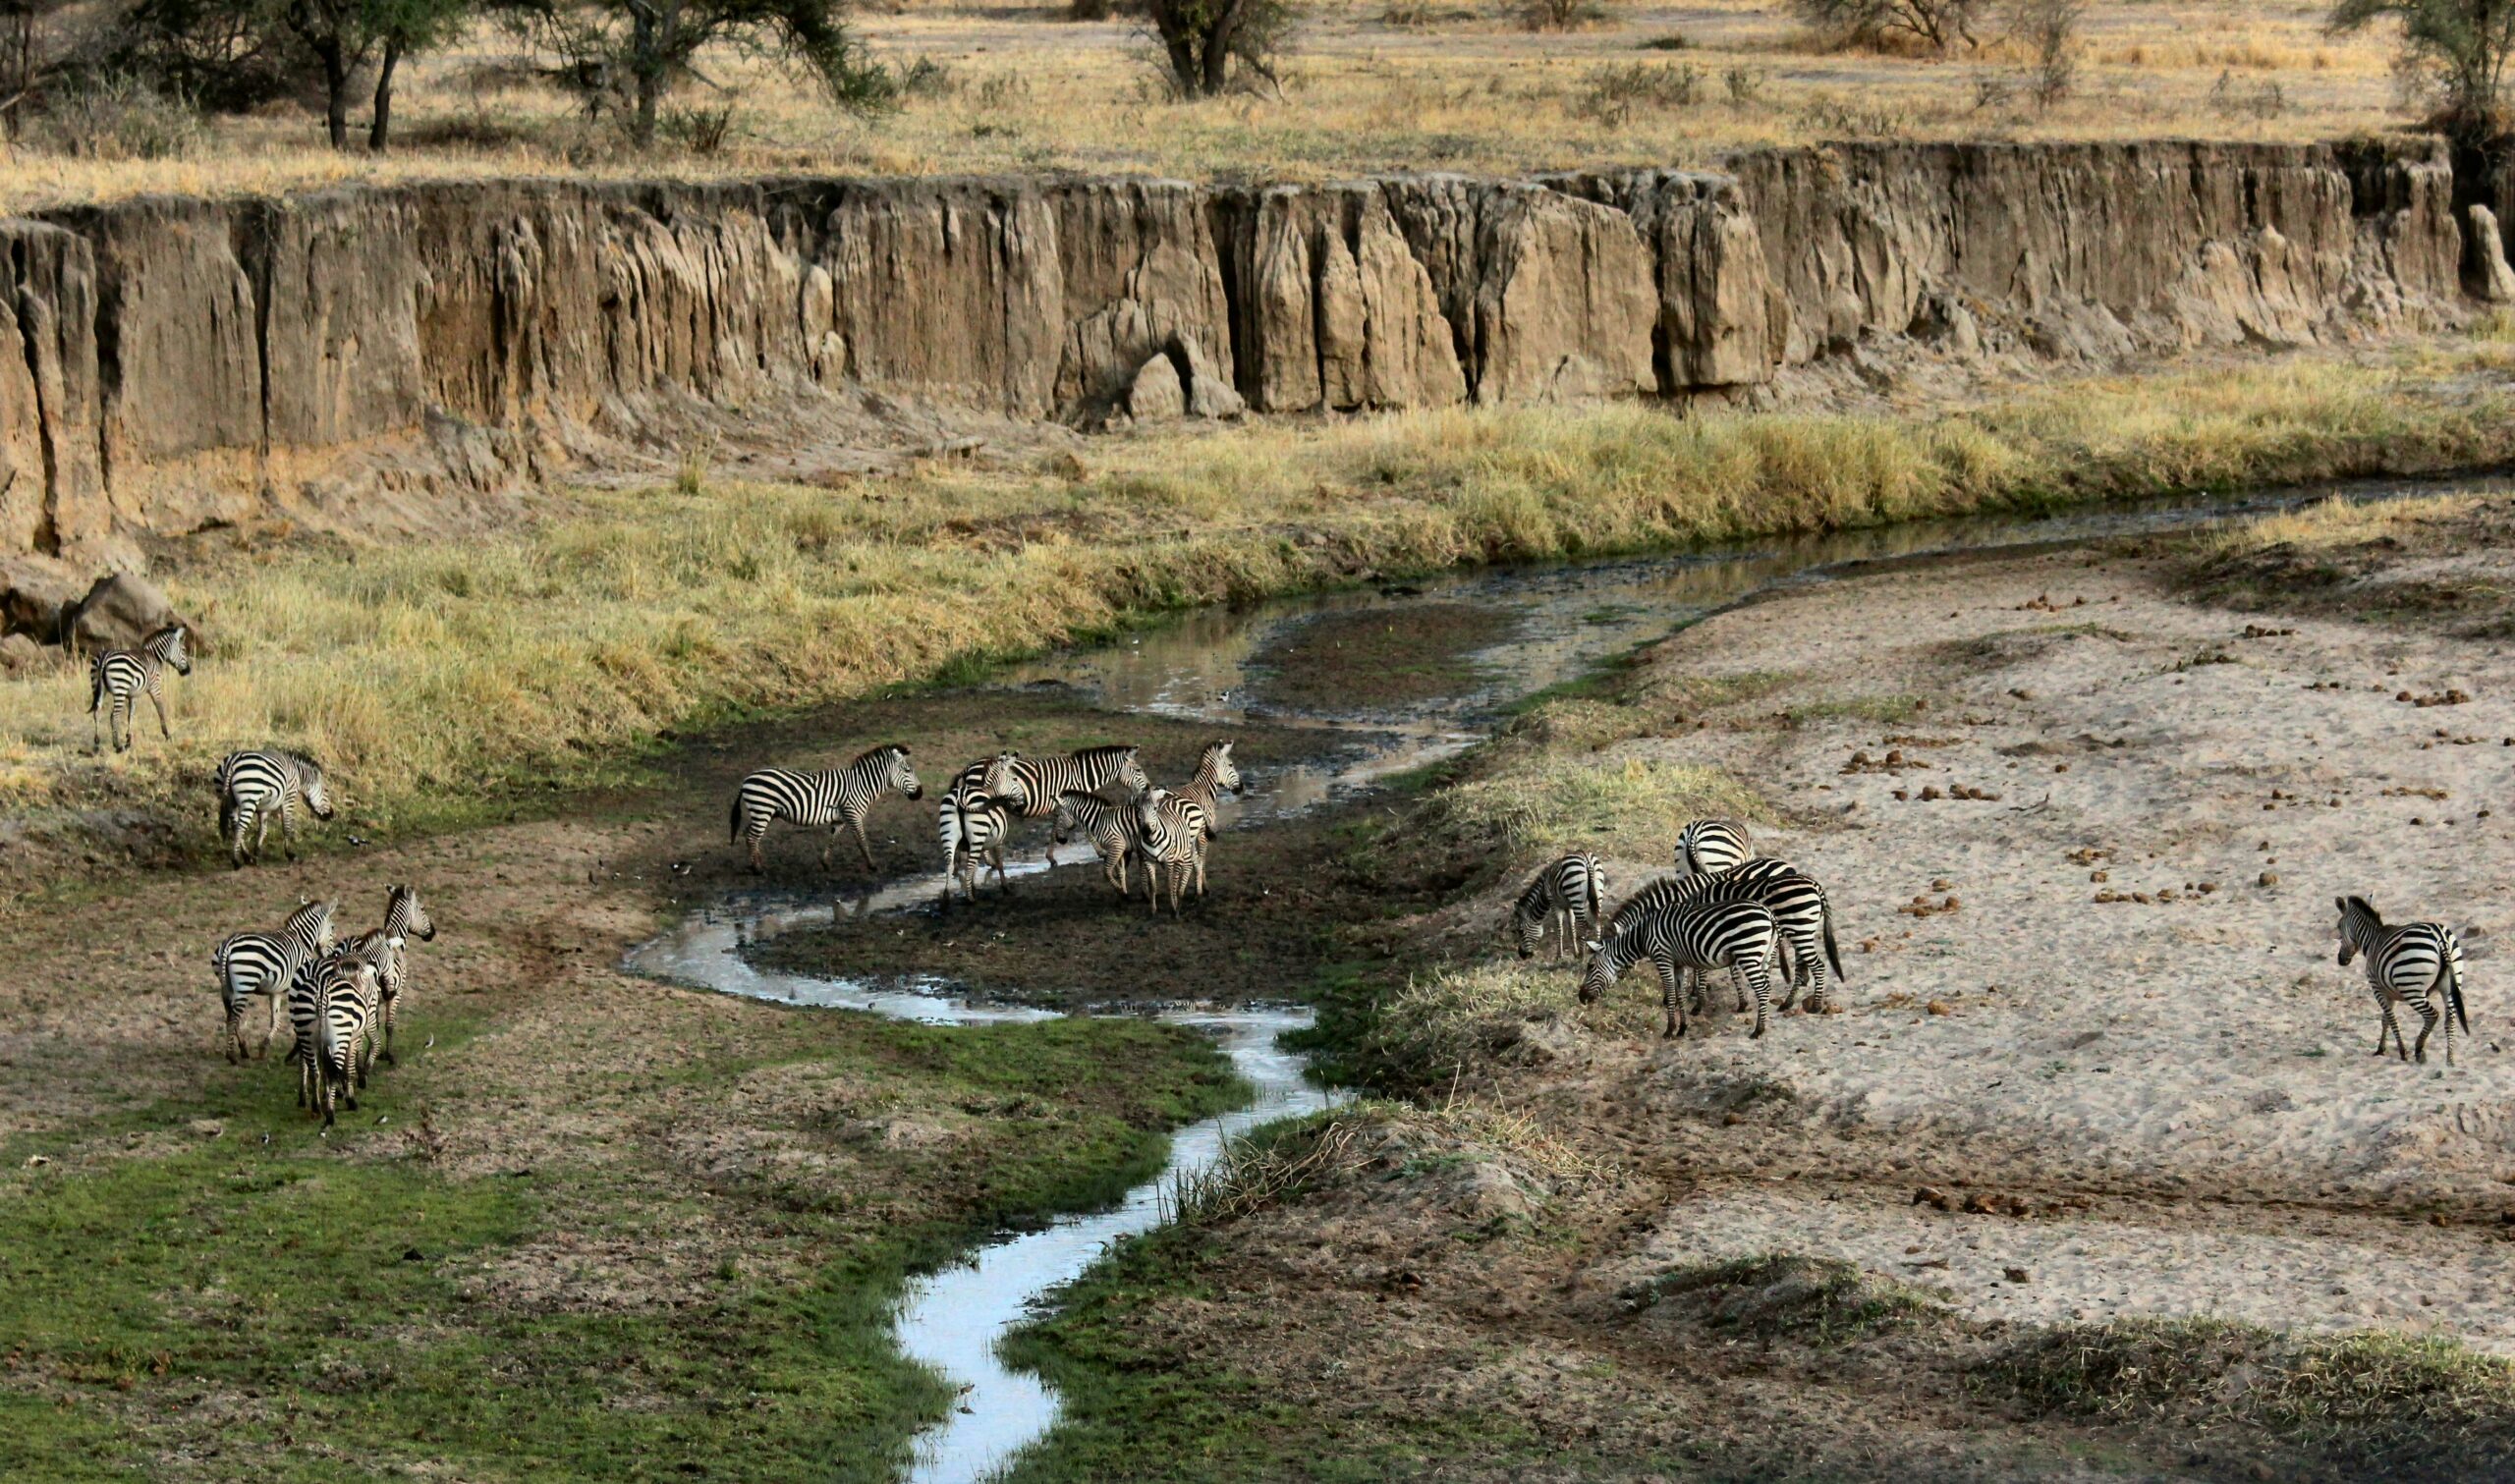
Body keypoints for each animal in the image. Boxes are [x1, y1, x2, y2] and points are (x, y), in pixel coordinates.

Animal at [85, 621, 190, 754]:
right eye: (184, 649)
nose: (188, 670)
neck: (154, 656)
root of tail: (104, 657)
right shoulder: (155, 687)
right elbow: (160, 709)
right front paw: (167, 735)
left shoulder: (133, 695)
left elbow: (131, 714)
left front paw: (128, 739)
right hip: (120, 688)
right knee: (114, 716)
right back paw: (117, 746)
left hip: (97, 688)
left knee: (97, 712)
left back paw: (97, 743)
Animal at [729, 749, 925, 880]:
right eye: (908, 771)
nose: (920, 793)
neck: (862, 785)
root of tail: (747, 779)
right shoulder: (853, 814)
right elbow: (862, 841)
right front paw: (872, 865)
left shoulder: (841, 818)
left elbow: (833, 838)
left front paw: (825, 863)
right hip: (763, 809)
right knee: (752, 836)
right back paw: (757, 869)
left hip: (762, 812)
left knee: (749, 834)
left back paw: (757, 863)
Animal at [1579, 900, 1780, 1041]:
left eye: (1590, 966)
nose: (1581, 998)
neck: (1643, 936)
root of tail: (1768, 913)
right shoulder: (1678, 964)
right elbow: (1680, 995)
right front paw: (1682, 1028)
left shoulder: (1663, 958)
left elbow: (1670, 994)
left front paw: (1669, 1030)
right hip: (1763, 957)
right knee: (1767, 987)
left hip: (1748, 952)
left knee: (1762, 990)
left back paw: (1758, 1030)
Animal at [1609, 854, 1851, 1016]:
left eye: (1613, 953)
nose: (1615, 986)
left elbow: (1698, 967)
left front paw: (1693, 997)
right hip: (1801, 927)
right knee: (1802, 960)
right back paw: (1792, 997)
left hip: (1797, 925)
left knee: (1814, 963)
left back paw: (1813, 1004)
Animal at [2333, 895, 2475, 1071]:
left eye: (2339, 927)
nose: (2341, 960)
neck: (2372, 940)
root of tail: (2441, 938)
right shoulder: (2389, 992)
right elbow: (2385, 1020)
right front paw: (2381, 1049)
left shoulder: (2377, 987)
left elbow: (2390, 1018)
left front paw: (2401, 1051)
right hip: (2450, 983)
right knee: (2450, 1018)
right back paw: (2450, 1060)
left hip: (2411, 987)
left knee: (2432, 1015)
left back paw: (2419, 1050)